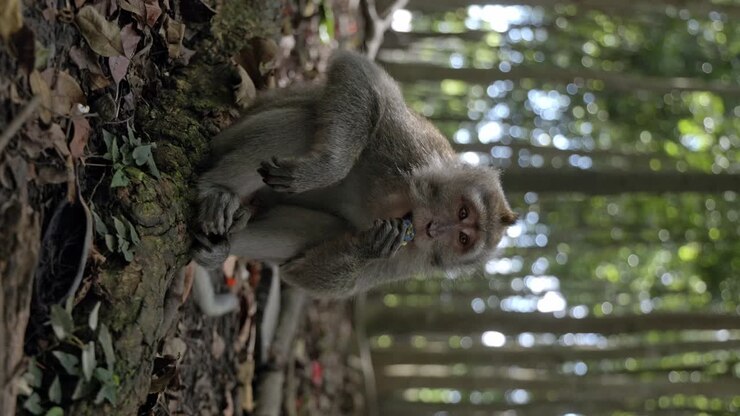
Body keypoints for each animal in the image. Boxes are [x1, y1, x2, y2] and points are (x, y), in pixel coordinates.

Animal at [191, 51, 518, 315]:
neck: (406, 204)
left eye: (463, 238)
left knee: (314, 231)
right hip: (231, 137)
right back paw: (218, 192)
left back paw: (224, 246)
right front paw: (322, 170)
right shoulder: (413, 150)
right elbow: (360, 74)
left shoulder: (412, 257)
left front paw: (370, 248)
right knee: (302, 125)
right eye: (463, 212)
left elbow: (301, 273)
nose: (435, 228)